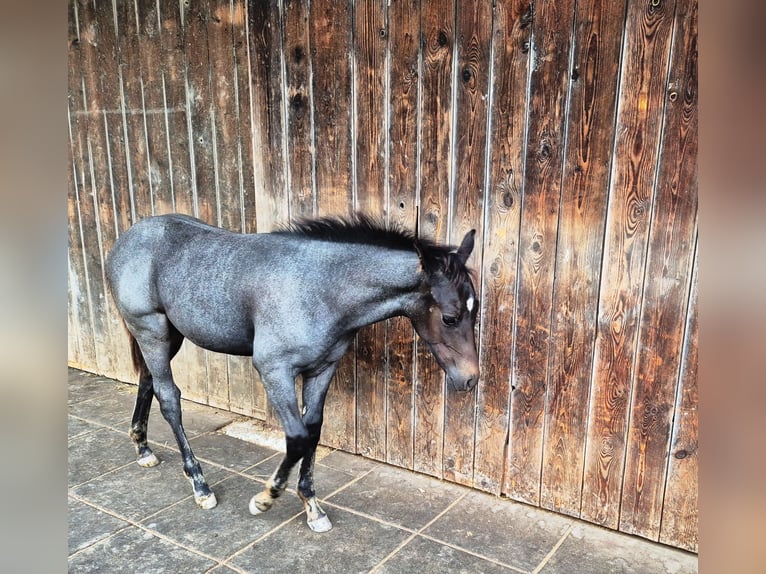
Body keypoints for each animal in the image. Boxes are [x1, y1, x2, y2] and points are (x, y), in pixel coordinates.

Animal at [106, 212, 480, 532]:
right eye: (450, 317)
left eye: (475, 310)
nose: (470, 379)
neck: (320, 288)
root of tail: (127, 238)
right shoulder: (274, 370)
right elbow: (297, 437)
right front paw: (265, 498)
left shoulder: (322, 369)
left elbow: (313, 430)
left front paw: (312, 507)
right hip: (151, 331)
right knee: (168, 397)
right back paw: (200, 485)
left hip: (169, 336)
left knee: (147, 382)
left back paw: (143, 449)